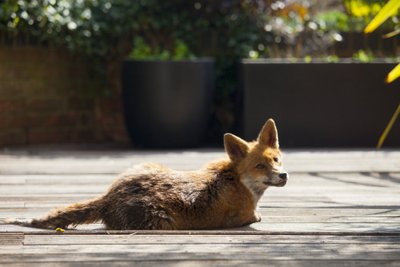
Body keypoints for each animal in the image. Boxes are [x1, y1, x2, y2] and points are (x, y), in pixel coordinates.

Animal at [7, 119, 288, 230]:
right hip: (162, 221)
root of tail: (110, 196)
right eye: (260, 166)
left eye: (275, 160)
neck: (239, 182)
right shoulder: (239, 217)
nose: (283, 175)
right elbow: (255, 217)